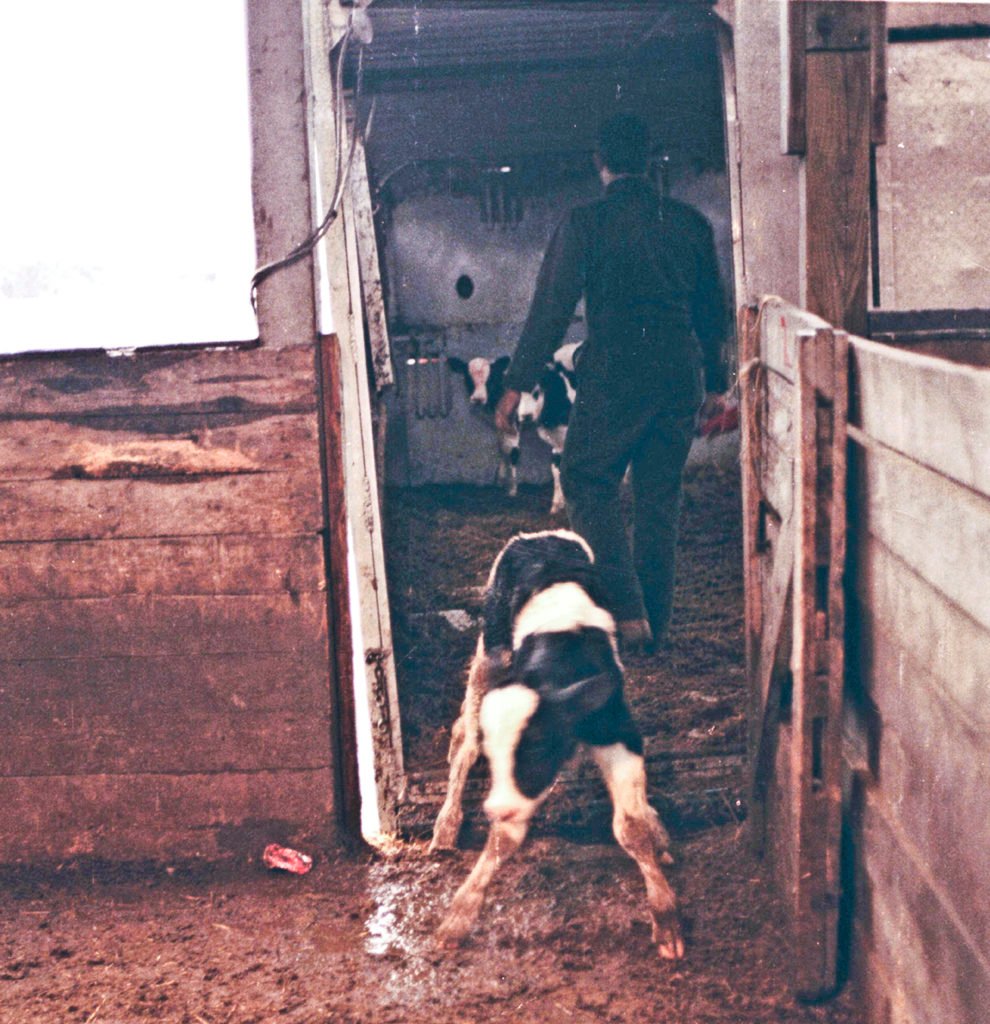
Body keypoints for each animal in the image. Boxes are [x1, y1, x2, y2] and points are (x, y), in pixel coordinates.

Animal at [429, 528, 683, 958]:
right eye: (496, 759)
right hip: (490, 650)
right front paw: (458, 919)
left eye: (536, 748)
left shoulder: (618, 731)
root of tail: (540, 536)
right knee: (465, 741)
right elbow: (502, 841)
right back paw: (446, 826)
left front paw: (665, 919)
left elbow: (630, 826)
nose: (496, 808)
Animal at [448, 356, 528, 499]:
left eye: (491, 378)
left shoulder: (513, 428)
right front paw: (500, 481)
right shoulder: (500, 428)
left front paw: (513, 489)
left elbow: (513, 453)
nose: (478, 398)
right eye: (468, 377)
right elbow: (502, 449)